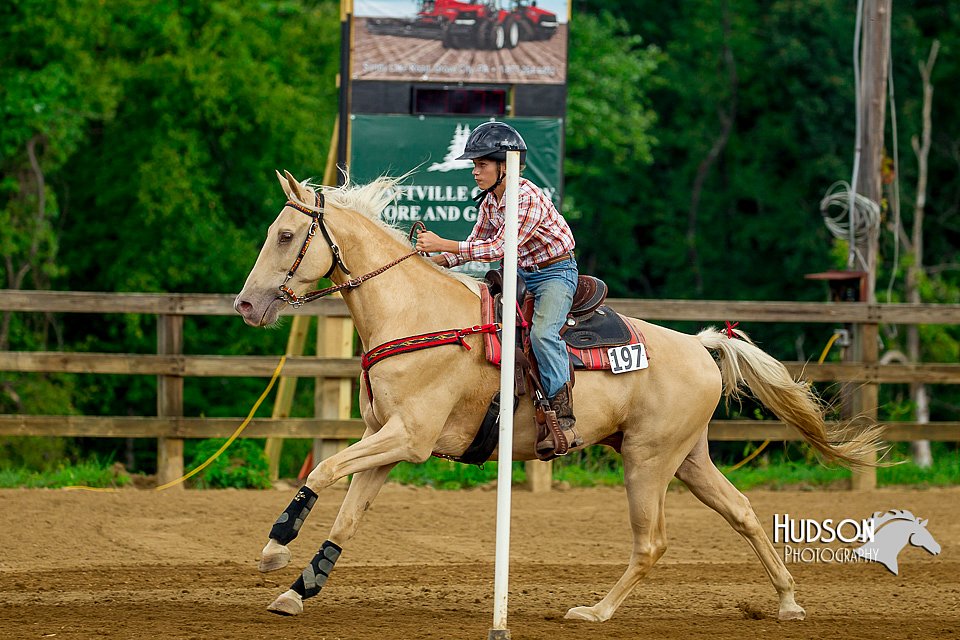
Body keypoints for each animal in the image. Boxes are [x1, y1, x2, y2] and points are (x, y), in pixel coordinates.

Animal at [236, 170, 880, 620]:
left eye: (286, 235)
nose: (245, 304)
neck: (416, 315)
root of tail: (700, 347)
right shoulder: (386, 441)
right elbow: (347, 516)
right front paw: (298, 591)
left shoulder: (408, 438)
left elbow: (323, 471)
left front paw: (274, 549)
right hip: (687, 458)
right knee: (744, 512)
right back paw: (788, 602)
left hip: (647, 461)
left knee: (652, 543)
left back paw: (595, 611)